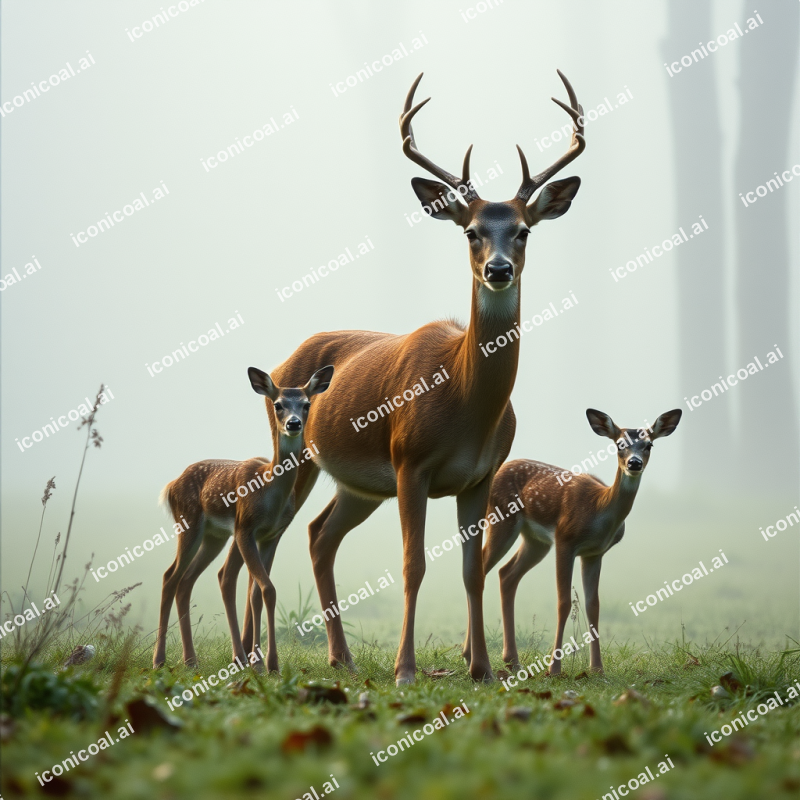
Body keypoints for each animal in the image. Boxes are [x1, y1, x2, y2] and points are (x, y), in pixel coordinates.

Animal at [152, 364, 333, 672]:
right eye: (278, 404)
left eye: (307, 404)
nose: (294, 423)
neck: (269, 492)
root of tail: (171, 486)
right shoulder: (245, 528)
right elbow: (267, 588)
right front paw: (266, 662)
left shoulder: (273, 535)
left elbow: (258, 592)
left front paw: (265, 661)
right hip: (189, 523)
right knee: (170, 576)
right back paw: (159, 659)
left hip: (215, 536)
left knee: (189, 580)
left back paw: (192, 659)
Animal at [260, 70, 586, 685]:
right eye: (471, 231)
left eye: (524, 231)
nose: (498, 270)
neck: (464, 404)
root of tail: (282, 361)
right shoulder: (410, 463)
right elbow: (412, 566)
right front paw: (405, 670)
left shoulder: (480, 477)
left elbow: (472, 570)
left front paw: (482, 668)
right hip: (292, 450)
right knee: (277, 532)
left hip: (359, 485)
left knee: (318, 536)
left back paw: (341, 656)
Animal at [481, 408, 682, 677]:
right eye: (619, 444)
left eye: (649, 445)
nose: (634, 463)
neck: (598, 509)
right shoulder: (564, 540)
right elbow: (564, 602)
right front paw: (554, 668)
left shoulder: (594, 553)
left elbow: (593, 605)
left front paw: (597, 668)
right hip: (501, 519)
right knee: (480, 569)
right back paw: (472, 656)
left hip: (536, 541)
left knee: (506, 574)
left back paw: (512, 661)